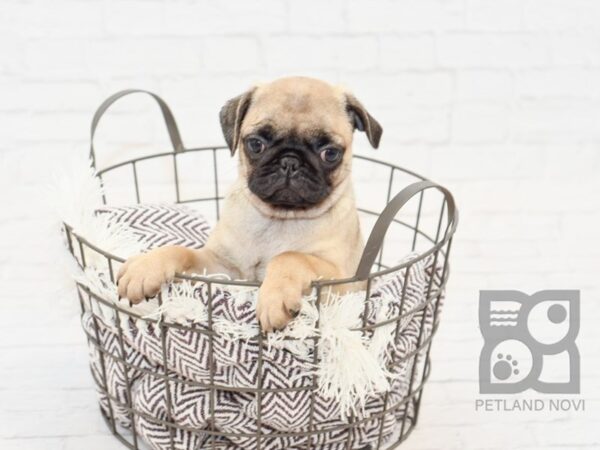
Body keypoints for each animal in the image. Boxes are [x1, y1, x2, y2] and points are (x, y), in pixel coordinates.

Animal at [115, 76, 382, 330]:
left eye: (330, 153)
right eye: (256, 144)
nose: (290, 161)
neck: (281, 218)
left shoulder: (342, 283)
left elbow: (290, 256)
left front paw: (274, 298)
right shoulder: (223, 270)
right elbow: (182, 251)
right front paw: (145, 266)